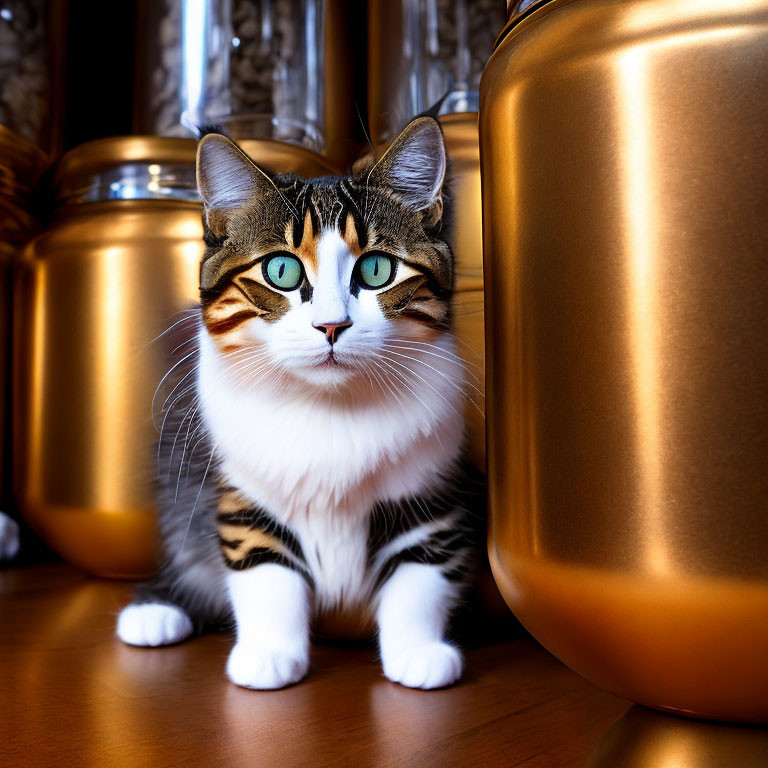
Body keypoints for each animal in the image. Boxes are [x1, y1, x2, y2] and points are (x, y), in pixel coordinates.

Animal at [115, 117, 480, 692]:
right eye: (281, 272)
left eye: (377, 270)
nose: (331, 325)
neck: (327, 405)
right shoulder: (243, 495)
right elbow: (266, 578)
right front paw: (269, 654)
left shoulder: (430, 492)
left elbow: (419, 580)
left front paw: (417, 651)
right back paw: (157, 610)